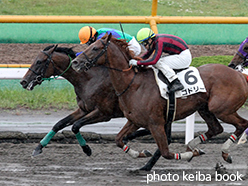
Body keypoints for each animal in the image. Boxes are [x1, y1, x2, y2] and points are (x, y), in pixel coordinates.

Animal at [20, 44, 151, 157]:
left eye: (39, 61)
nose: (23, 81)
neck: (89, 80)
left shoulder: (104, 113)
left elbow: (75, 126)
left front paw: (86, 148)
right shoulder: (83, 109)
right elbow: (59, 124)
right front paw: (39, 147)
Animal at [71, 32, 248, 169]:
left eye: (95, 48)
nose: (75, 62)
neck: (133, 83)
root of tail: (240, 75)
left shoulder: (155, 123)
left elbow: (166, 152)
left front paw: (188, 155)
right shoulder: (134, 120)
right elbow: (118, 140)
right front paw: (141, 153)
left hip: (222, 109)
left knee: (242, 124)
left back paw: (224, 152)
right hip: (205, 108)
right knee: (216, 128)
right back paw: (194, 146)